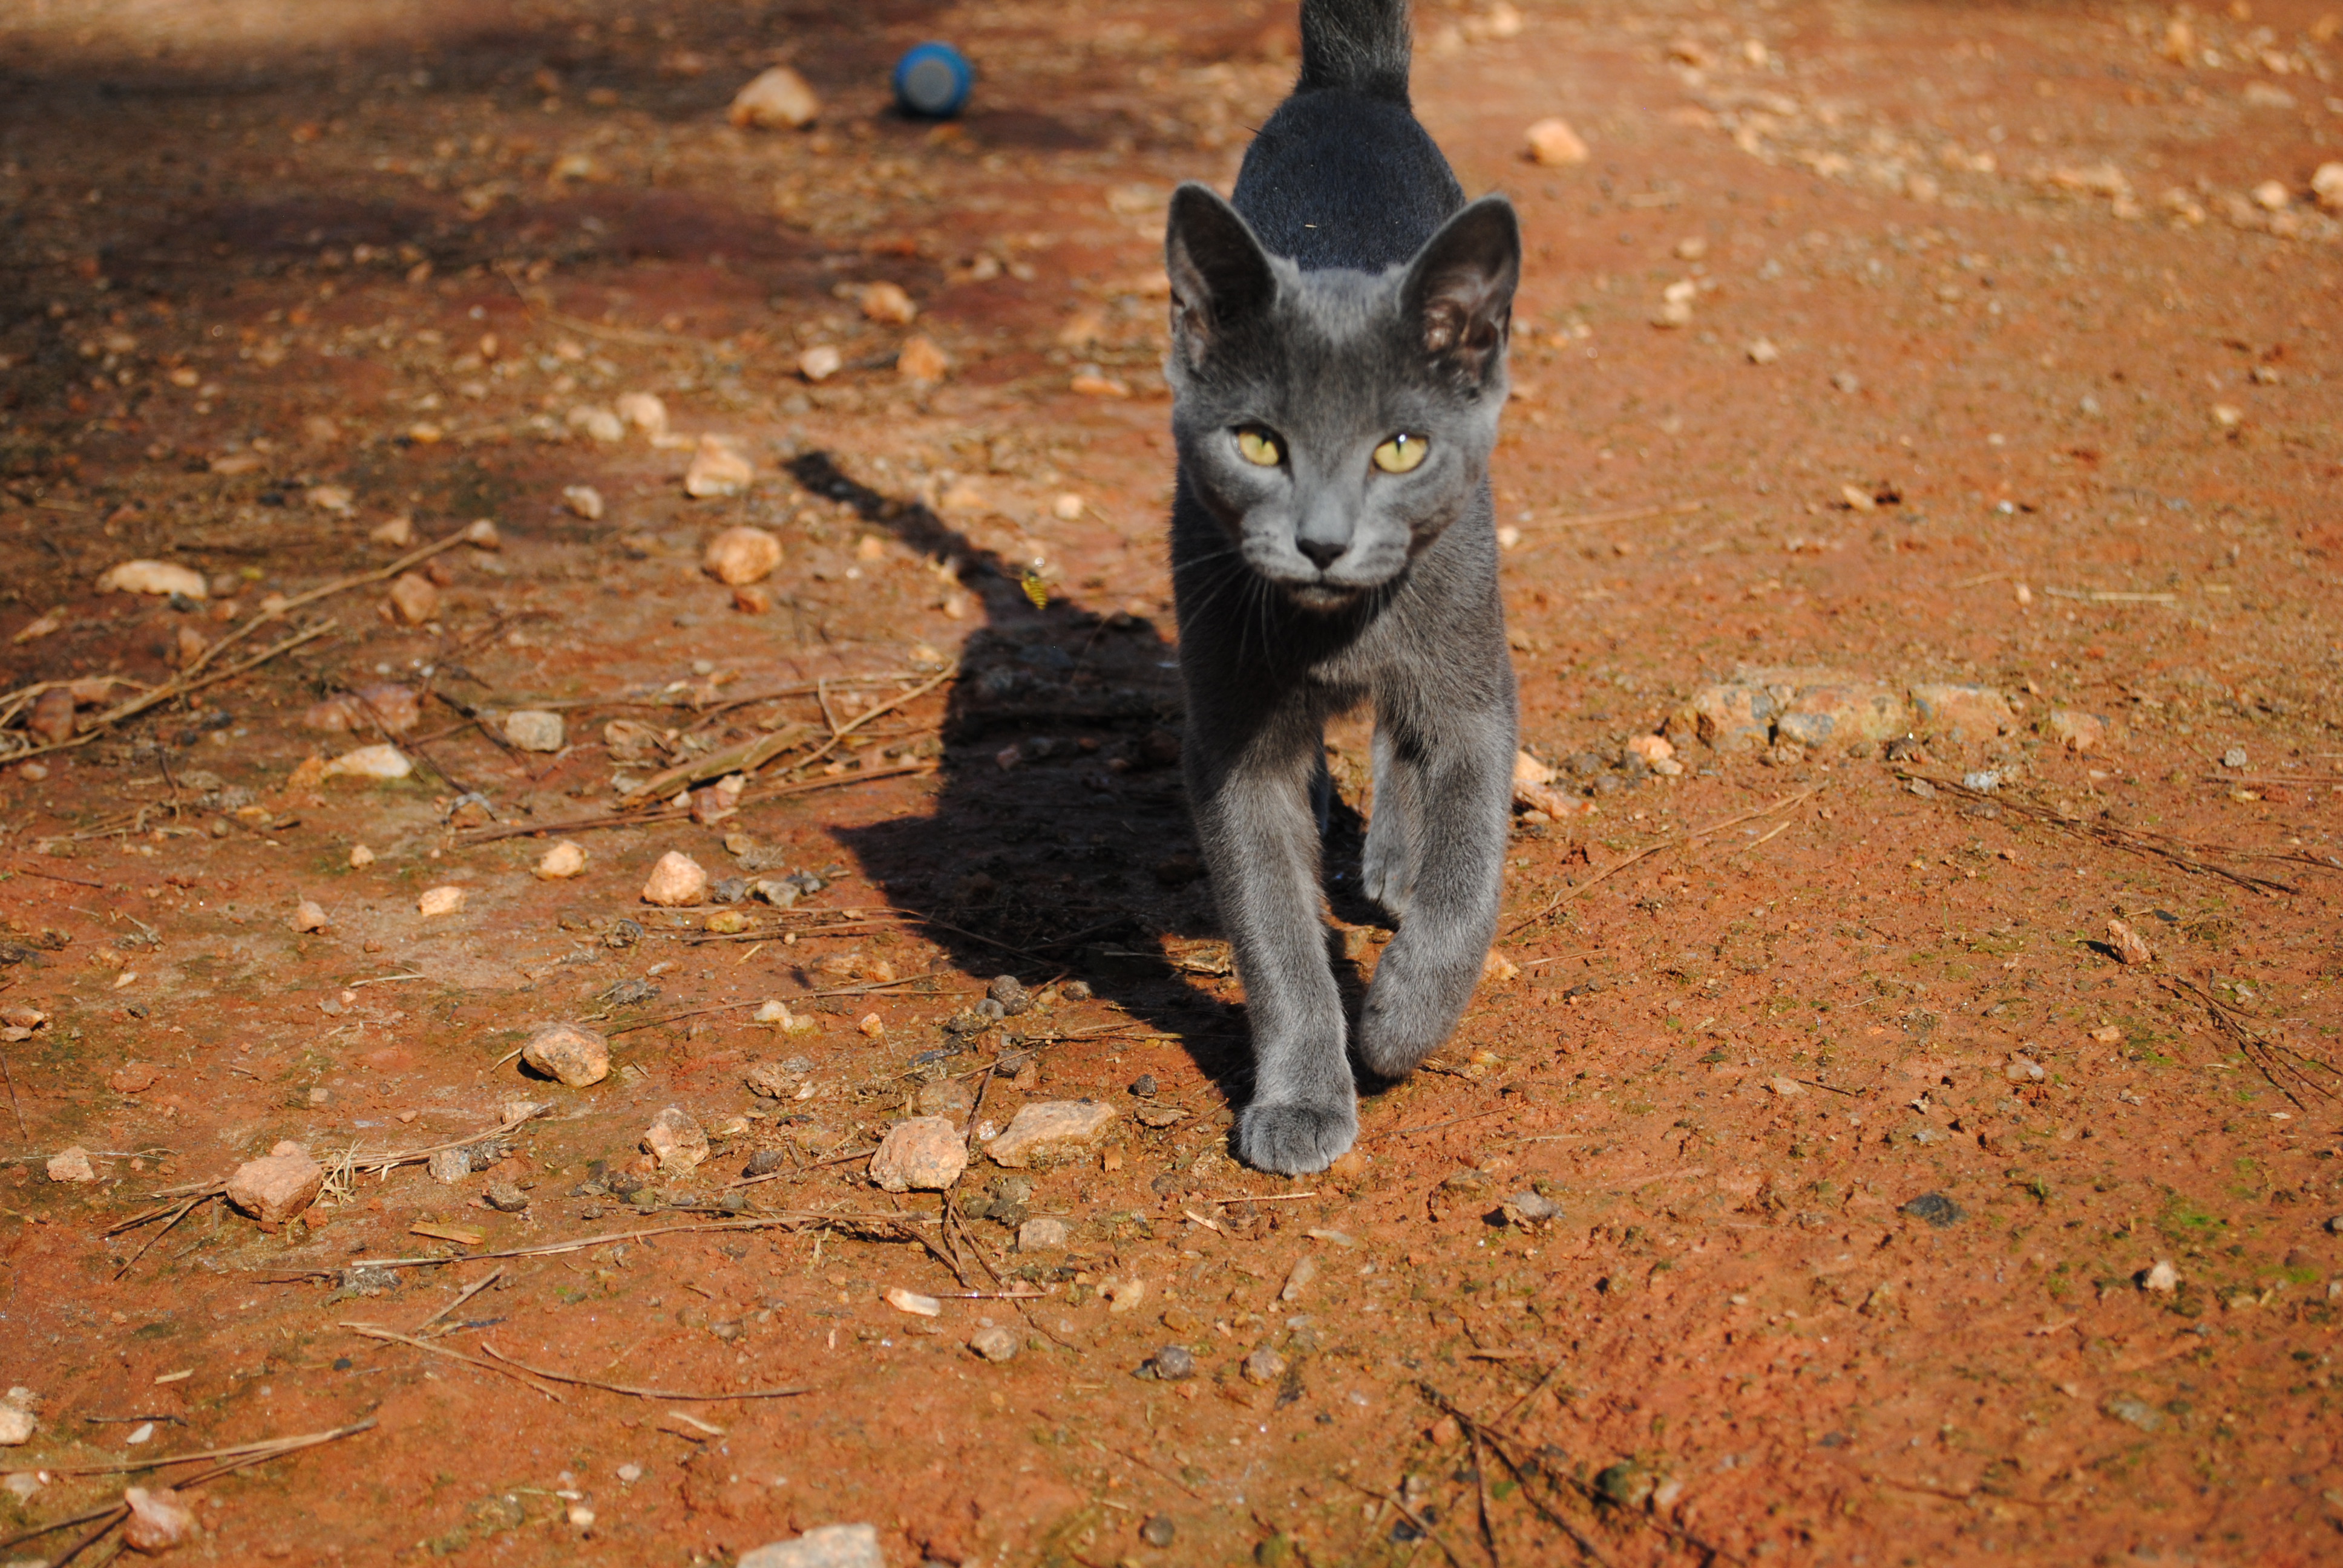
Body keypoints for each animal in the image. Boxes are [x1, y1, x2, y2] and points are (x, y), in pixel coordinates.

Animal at [1164, 0, 1521, 1174]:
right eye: (1259, 443)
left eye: (1400, 447)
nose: (1322, 542)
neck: (1335, 628)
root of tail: (1350, 87)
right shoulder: (1230, 740)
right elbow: (1272, 935)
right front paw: (1304, 1096)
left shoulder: (1475, 694)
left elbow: (1469, 875)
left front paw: (1401, 1021)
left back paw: (1397, 855)